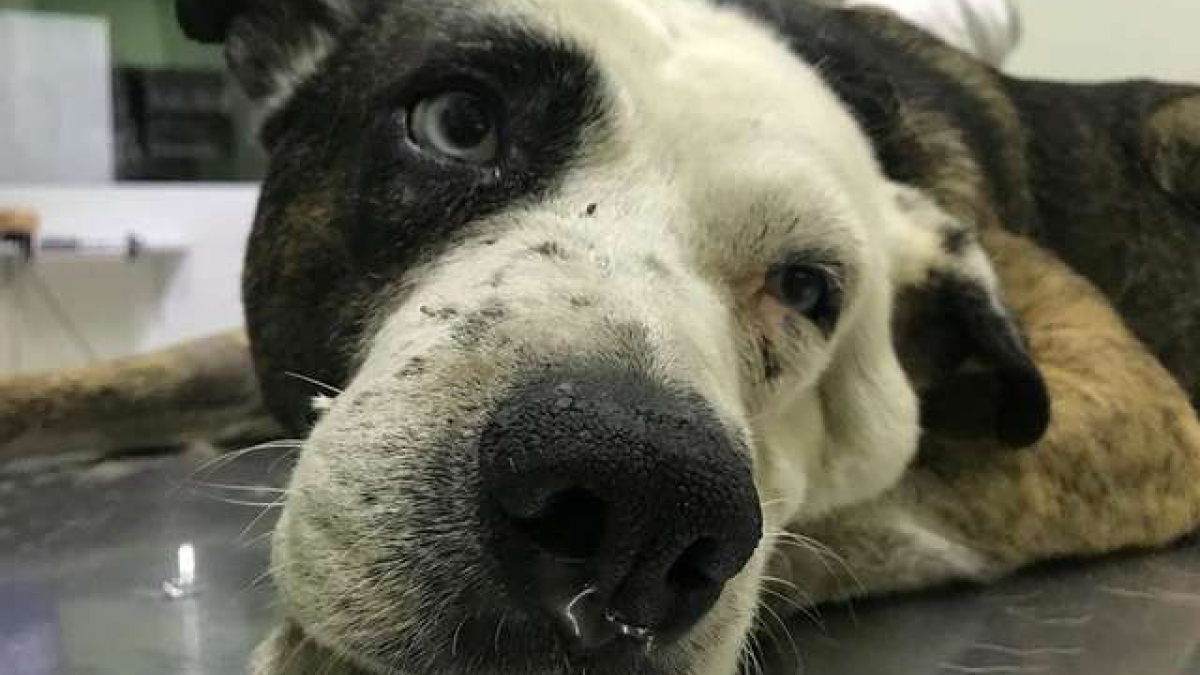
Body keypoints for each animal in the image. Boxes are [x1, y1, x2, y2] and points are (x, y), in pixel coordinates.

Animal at [2, 0, 1200, 667]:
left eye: (808, 288)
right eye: (457, 124)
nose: (634, 505)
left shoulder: (1133, 416)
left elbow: (836, 519)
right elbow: (133, 373)